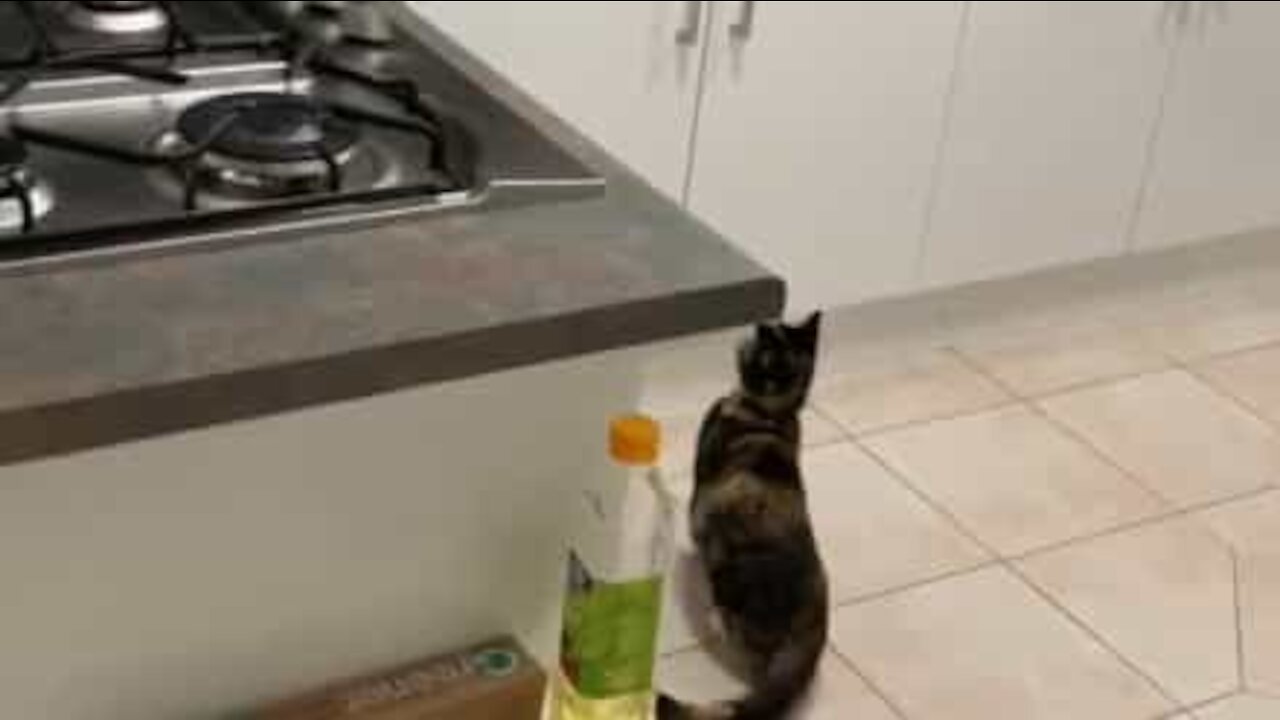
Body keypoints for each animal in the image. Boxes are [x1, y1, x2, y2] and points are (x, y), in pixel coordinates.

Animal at [660, 312, 829, 717]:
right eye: (778, 328)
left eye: (767, 340)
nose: (762, 322)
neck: (770, 411)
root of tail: (814, 629)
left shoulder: (699, 493)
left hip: (730, 580)